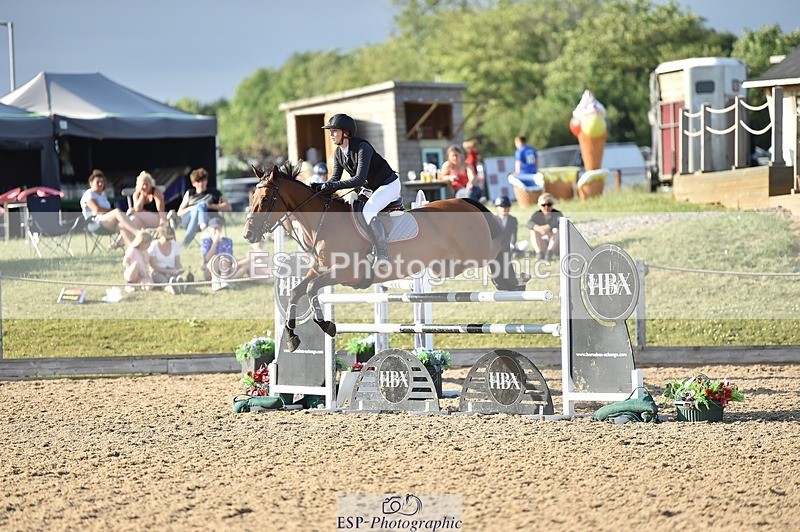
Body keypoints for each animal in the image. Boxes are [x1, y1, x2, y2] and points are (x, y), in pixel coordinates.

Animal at [244, 162, 524, 352]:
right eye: (252, 197)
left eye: (265, 199)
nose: (248, 234)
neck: (324, 223)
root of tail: (465, 201)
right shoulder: (320, 270)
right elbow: (297, 291)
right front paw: (292, 339)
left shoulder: (345, 273)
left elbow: (312, 289)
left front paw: (328, 326)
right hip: (450, 264)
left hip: (473, 253)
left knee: (501, 243)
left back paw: (514, 280)